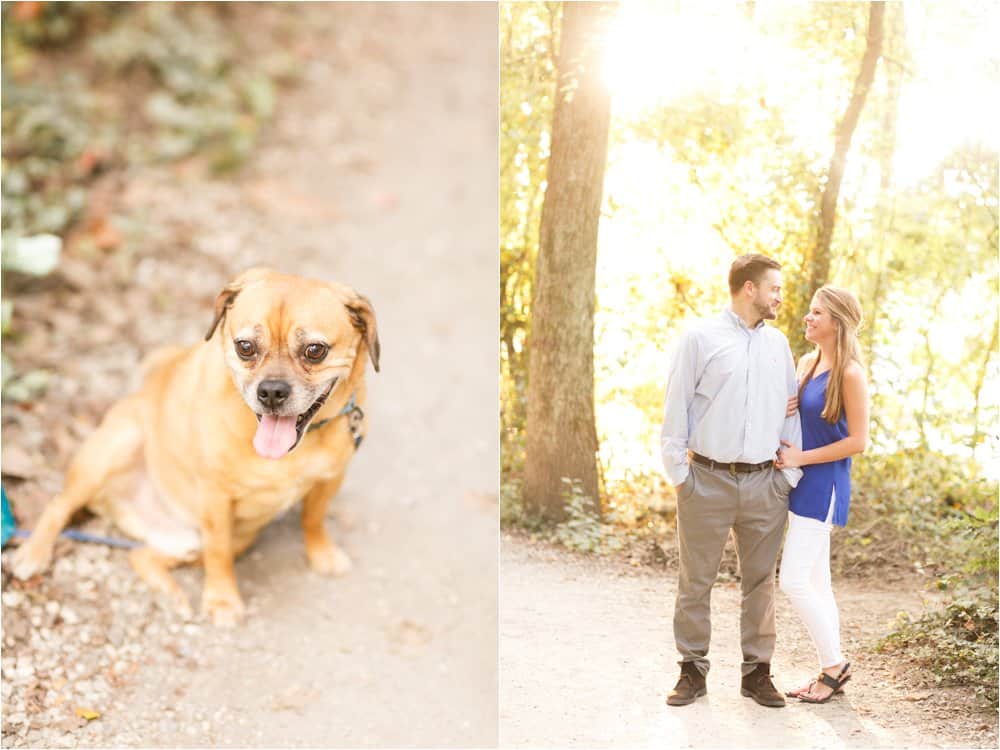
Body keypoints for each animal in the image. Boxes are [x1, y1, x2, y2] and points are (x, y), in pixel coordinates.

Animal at [9, 268, 380, 624]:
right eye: (245, 346)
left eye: (315, 351)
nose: (272, 391)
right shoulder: (216, 499)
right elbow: (218, 555)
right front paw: (222, 601)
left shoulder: (329, 480)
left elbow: (313, 520)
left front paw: (322, 554)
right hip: (113, 449)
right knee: (59, 505)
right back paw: (32, 554)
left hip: (226, 539)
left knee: (141, 556)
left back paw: (171, 595)